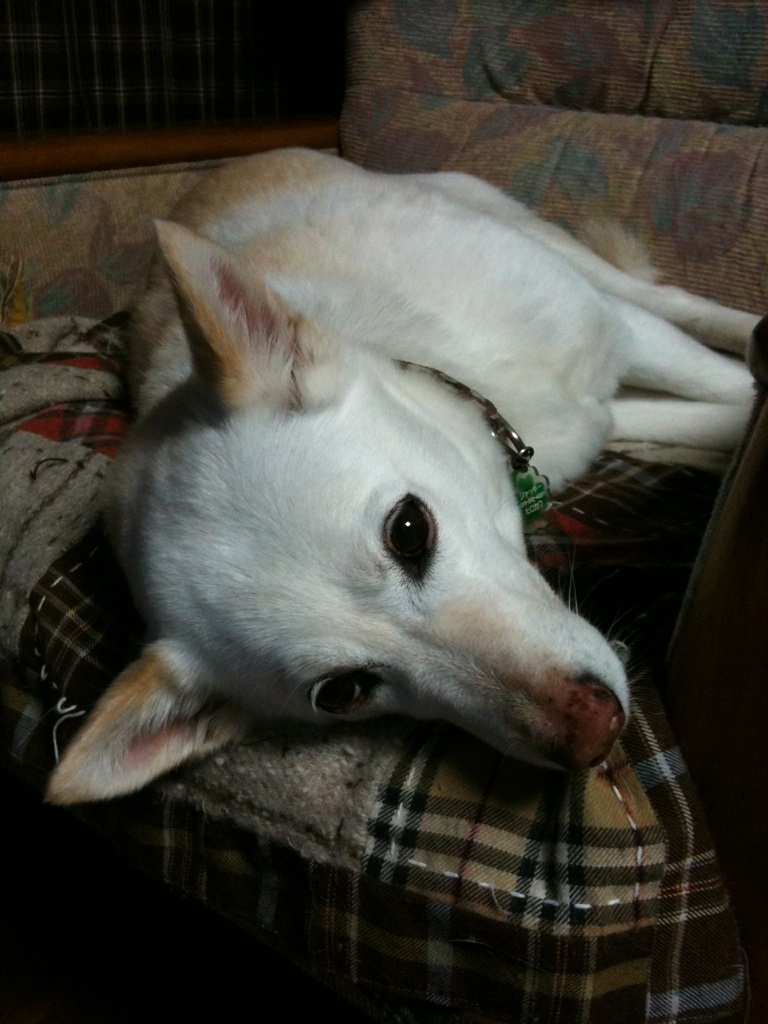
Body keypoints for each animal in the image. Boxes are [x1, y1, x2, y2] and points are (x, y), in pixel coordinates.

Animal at [46, 148, 756, 804]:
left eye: (409, 529)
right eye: (343, 692)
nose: (595, 737)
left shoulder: (617, 336)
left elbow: (729, 387)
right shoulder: (599, 410)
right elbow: (707, 412)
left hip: (532, 237)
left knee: (665, 300)